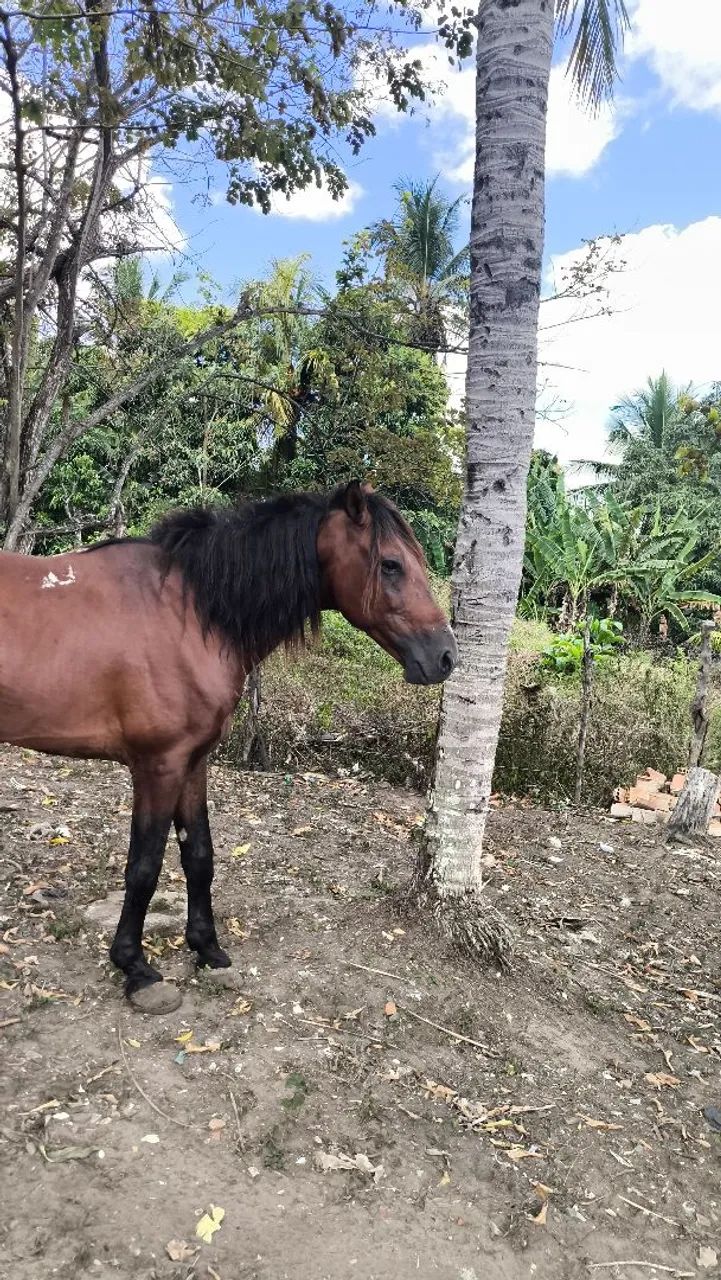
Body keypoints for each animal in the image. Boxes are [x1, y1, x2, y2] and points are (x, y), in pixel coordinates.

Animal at [0, 481, 457, 1012]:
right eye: (390, 564)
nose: (445, 656)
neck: (187, 612)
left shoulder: (193, 761)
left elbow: (199, 854)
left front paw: (206, 946)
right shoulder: (158, 765)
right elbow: (144, 866)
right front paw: (135, 967)